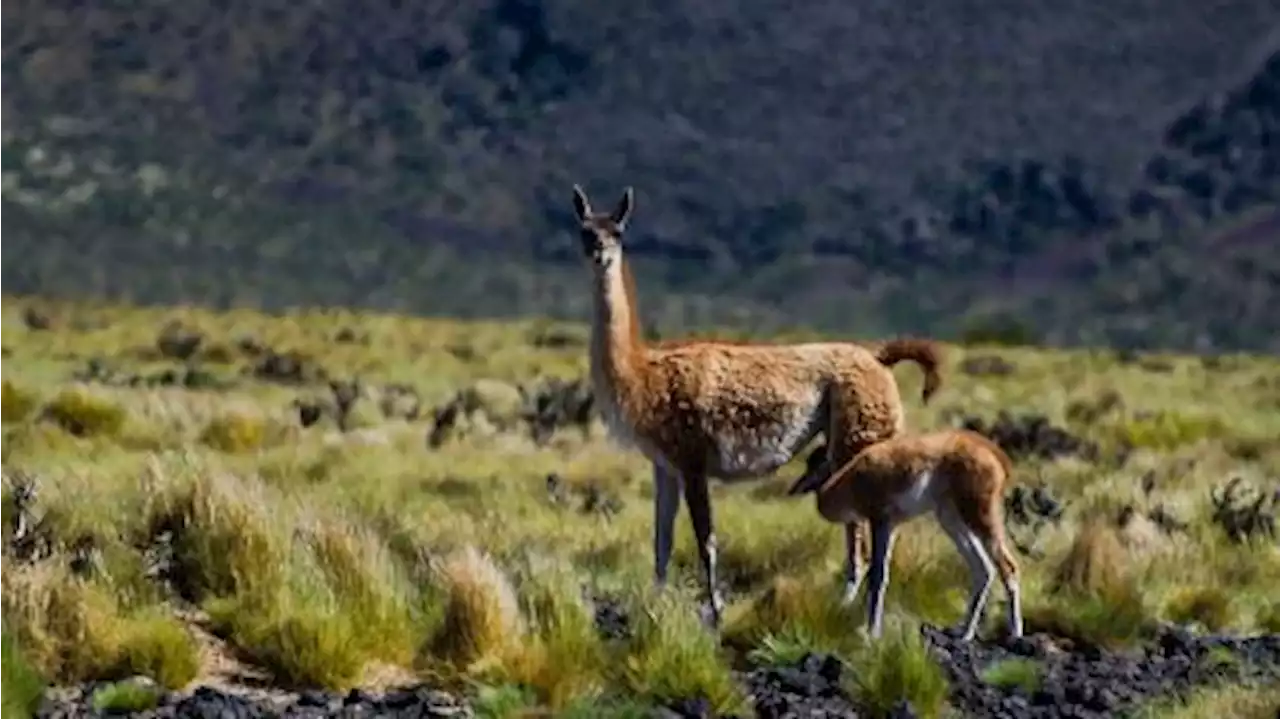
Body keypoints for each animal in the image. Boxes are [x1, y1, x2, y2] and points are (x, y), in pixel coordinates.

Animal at [783, 427, 1024, 634]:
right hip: (951, 518)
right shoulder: (890, 525)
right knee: (983, 569)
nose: (796, 487)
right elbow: (881, 573)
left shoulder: (879, 520)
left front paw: (872, 632)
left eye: (816, 464)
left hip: (979, 513)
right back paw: (965, 633)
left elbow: (878, 574)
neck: (849, 481)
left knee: (1008, 566)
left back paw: (1015, 633)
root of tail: (994, 454)